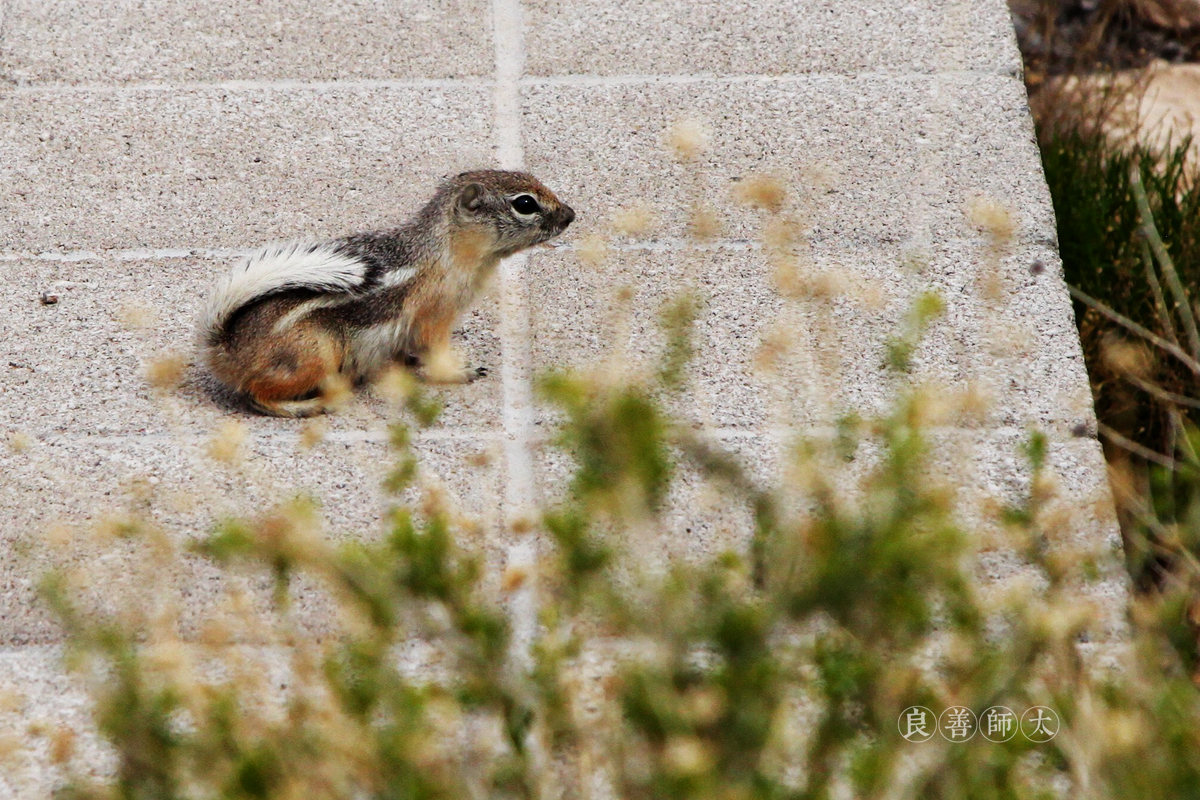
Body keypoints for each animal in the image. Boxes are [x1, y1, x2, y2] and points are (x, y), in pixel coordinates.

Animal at [201, 171, 576, 417]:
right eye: (525, 204)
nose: (571, 215)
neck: (447, 251)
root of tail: (227, 349)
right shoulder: (435, 315)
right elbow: (435, 352)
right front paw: (460, 372)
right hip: (316, 355)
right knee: (257, 396)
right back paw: (312, 404)